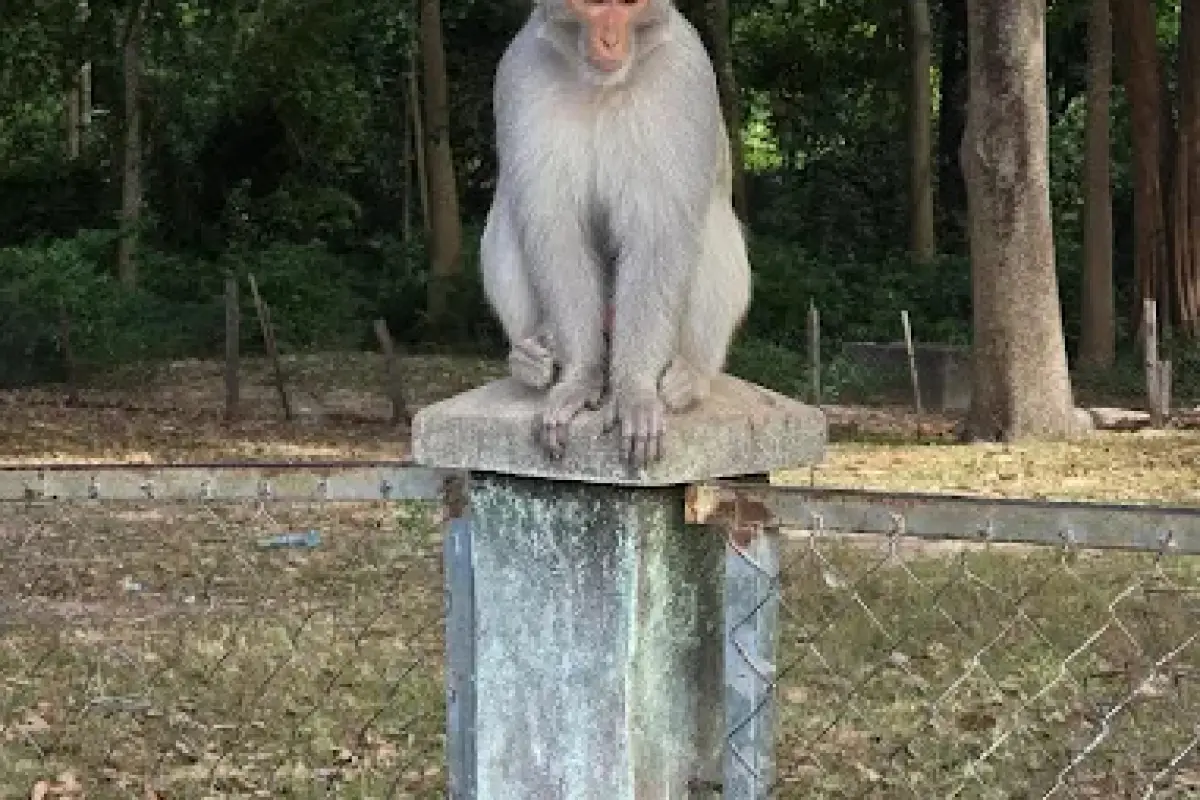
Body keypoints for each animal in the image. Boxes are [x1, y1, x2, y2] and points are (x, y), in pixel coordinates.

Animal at [480, 0, 751, 468]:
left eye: (627, 6)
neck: (600, 87)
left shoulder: (685, 77)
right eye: (591, 6)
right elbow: (555, 228)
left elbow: (660, 234)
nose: (609, 39)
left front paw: (634, 391)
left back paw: (692, 375)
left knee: (713, 219)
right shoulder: (519, 73)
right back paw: (529, 356)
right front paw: (580, 378)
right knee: (509, 210)